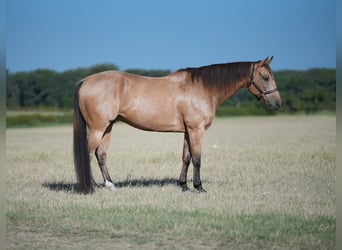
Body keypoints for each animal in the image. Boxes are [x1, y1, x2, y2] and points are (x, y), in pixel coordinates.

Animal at [73, 56, 280, 193]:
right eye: (266, 77)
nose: (277, 104)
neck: (203, 88)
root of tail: (85, 81)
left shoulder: (188, 131)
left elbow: (186, 157)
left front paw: (184, 185)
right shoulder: (197, 130)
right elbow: (197, 158)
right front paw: (199, 187)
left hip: (107, 127)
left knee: (101, 154)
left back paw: (110, 184)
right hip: (98, 128)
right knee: (89, 154)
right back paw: (90, 187)